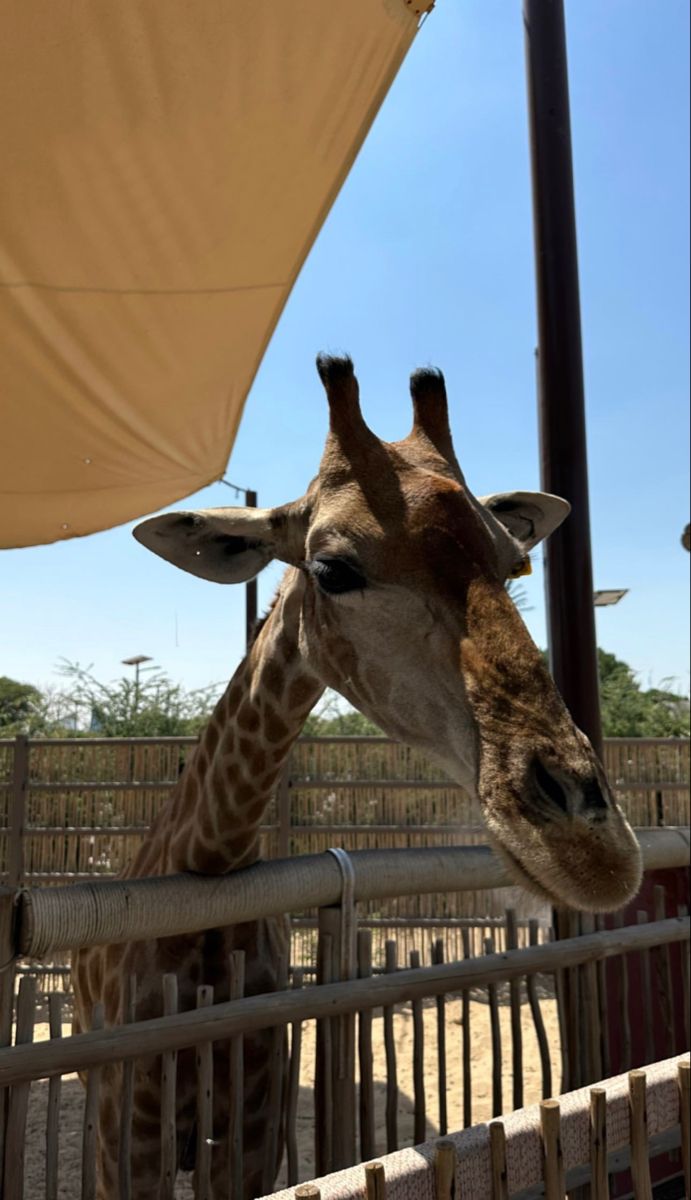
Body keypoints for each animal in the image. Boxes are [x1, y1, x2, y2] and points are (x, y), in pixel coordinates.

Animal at [72, 355, 642, 1199]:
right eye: (331, 569)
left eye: (514, 564)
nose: (594, 853)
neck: (209, 868)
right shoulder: (127, 1136)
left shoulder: (251, 1134)